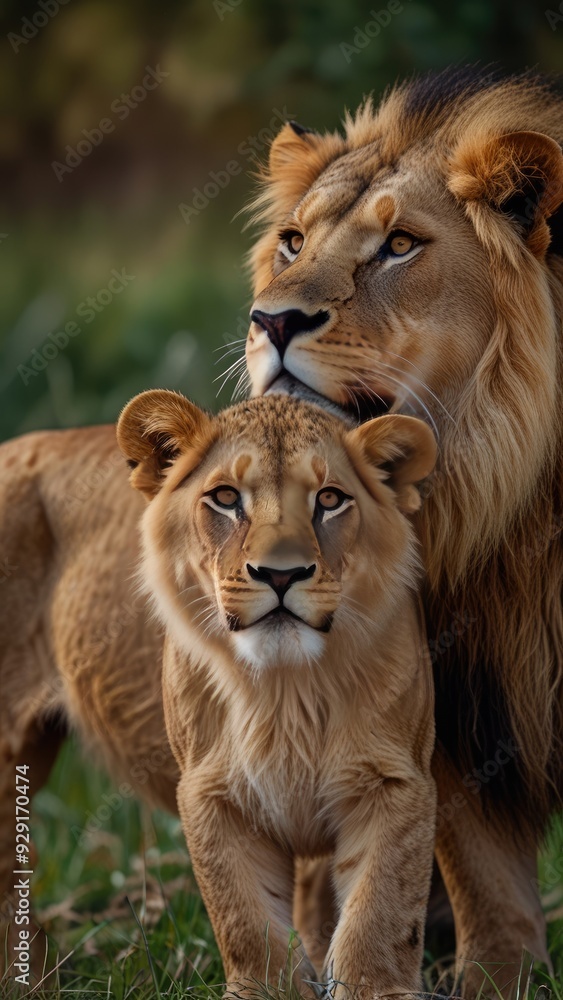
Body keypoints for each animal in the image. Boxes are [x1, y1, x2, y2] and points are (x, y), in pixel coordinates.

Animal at [0, 391, 437, 996]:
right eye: (226, 498)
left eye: (329, 499)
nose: (282, 574)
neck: (285, 692)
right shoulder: (212, 793)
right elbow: (245, 919)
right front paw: (266, 990)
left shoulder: (394, 781)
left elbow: (380, 911)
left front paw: (373, 987)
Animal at [244, 67, 563, 995]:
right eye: (291, 242)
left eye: (397, 247)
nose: (271, 321)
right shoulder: (449, 687)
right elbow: (481, 869)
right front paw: (499, 979)